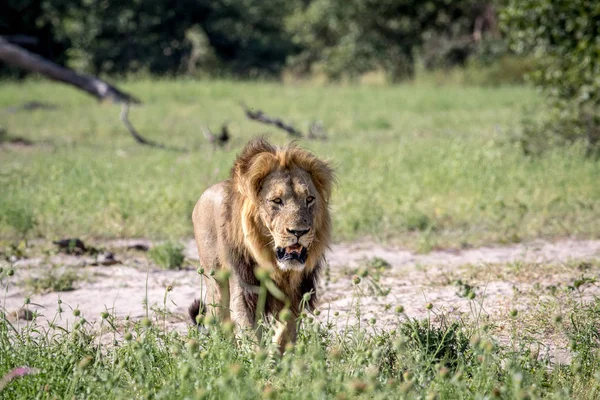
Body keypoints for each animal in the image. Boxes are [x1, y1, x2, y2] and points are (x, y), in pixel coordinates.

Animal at [189, 138, 332, 350]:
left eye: (309, 199)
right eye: (277, 201)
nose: (299, 232)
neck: (275, 265)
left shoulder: (294, 295)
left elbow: (286, 331)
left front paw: (275, 354)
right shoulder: (244, 291)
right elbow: (251, 336)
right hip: (215, 281)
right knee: (219, 320)